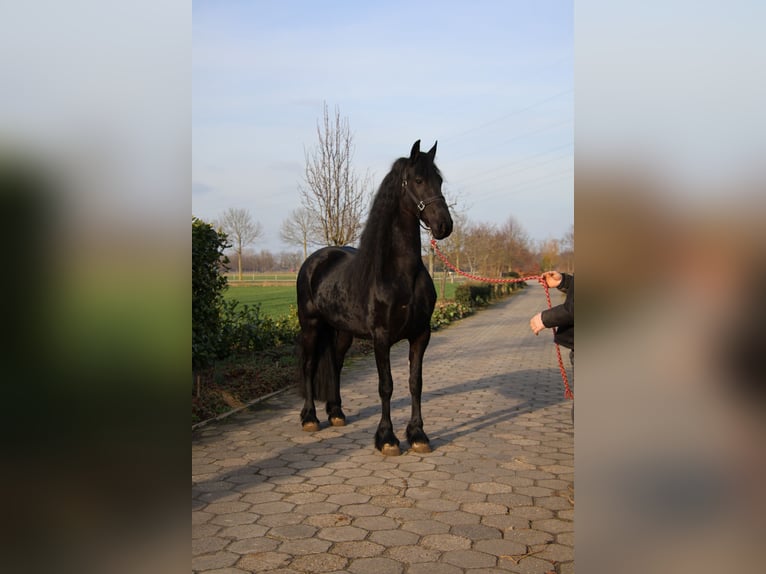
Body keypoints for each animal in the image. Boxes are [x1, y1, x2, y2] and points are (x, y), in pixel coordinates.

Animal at [296, 140, 453, 456]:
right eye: (418, 180)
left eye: (440, 180)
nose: (444, 225)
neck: (400, 274)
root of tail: (314, 261)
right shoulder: (381, 337)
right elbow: (386, 386)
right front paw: (387, 438)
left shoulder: (421, 334)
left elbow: (415, 382)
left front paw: (418, 435)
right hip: (311, 325)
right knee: (308, 365)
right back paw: (310, 418)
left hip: (342, 331)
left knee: (335, 364)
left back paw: (336, 412)